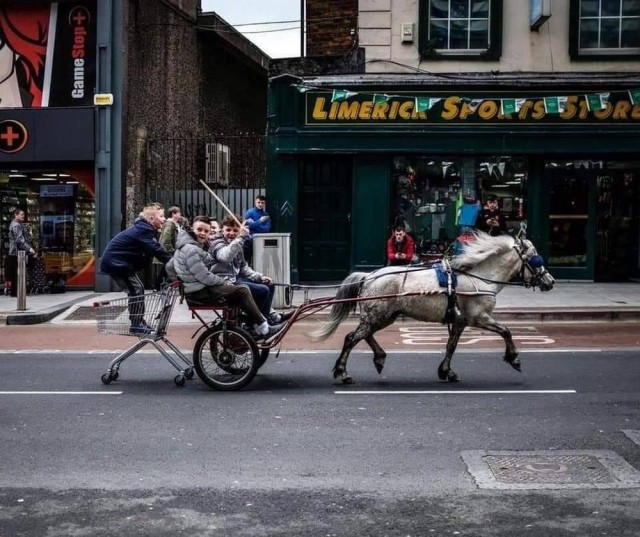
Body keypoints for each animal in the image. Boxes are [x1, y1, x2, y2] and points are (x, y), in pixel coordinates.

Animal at [312, 232, 556, 384]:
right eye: (536, 259)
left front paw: (447, 371)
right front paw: (514, 358)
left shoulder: (460, 321)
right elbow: (506, 331)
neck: (479, 278)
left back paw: (379, 357)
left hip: (385, 316)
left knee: (365, 335)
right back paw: (343, 373)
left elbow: (451, 346)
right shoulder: (479, 317)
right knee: (352, 338)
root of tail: (369, 275)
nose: (550, 281)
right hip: (377, 315)